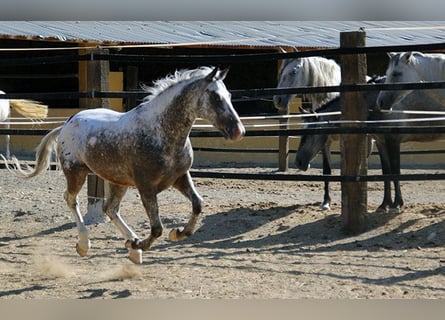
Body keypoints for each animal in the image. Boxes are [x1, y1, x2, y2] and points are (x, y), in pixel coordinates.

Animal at [4, 66, 246, 264]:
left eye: (229, 95)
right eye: (215, 96)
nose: (238, 131)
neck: (161, 132)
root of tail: (66, 124)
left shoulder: (179, 178)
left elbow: (197, 204)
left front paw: (176, 234)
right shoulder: (145, 186)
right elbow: (157, 228)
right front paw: (143, 243)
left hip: (117, 181)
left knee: (110, 208)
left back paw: (132, 247)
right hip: (76, 172)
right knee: (71, 199)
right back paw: (86, 245)